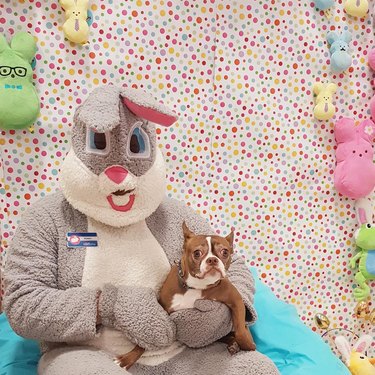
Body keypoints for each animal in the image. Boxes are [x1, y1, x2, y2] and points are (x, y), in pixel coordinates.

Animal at [116, 223, 258, 370]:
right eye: (197, 253)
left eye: (225, 252)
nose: (212, 260)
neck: (197, 286)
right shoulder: (165, 310)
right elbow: (149, 338)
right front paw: (128, 358)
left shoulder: (236, 300)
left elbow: (240, 330)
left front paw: (248, 346)